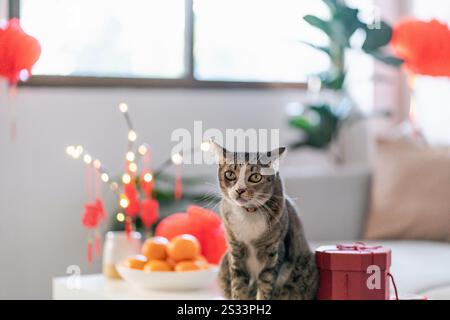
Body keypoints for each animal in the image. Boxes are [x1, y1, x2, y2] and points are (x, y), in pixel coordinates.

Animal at [214, 143, 316, 300]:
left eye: (255, 177)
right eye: (229, 174)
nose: (240, 190)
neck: (248, 214)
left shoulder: (274, 251)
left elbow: (266, 284)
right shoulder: (235, 249)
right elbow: (238, 285)